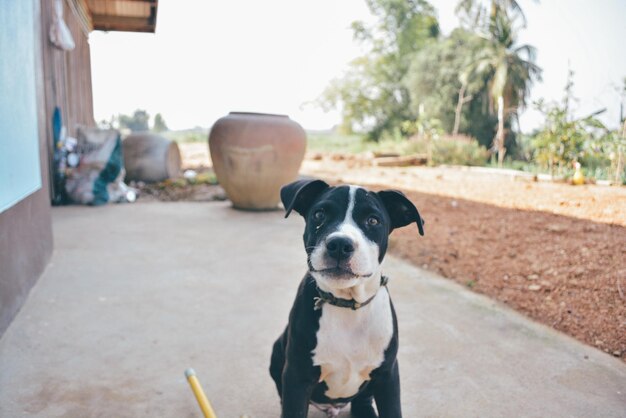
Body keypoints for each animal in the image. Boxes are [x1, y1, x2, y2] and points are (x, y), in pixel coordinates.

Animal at [270, 180, 424, 418]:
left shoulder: (388, 375)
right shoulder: (297, 376)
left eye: (373, 220)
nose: (340, 244)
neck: (348, 305)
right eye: (319, 214)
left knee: (362, 399)